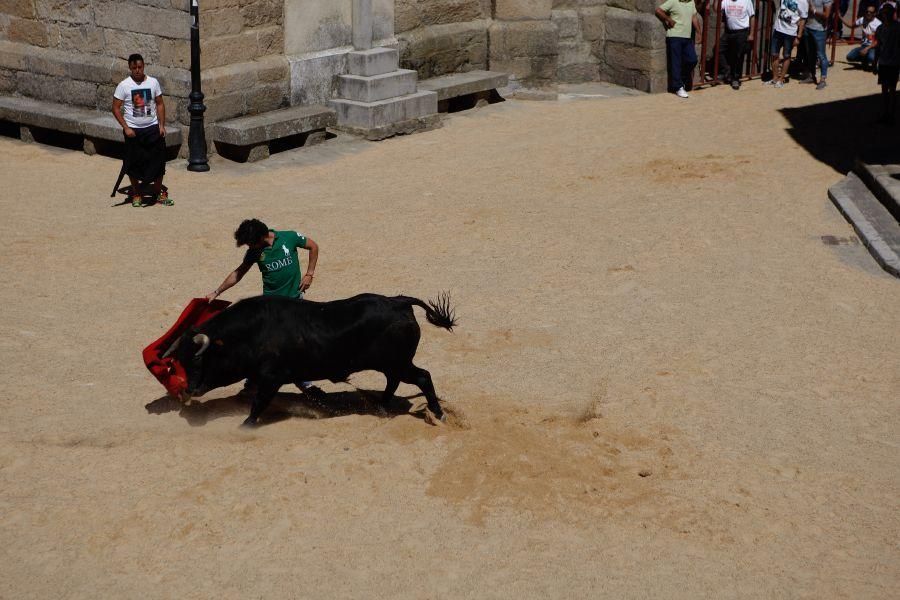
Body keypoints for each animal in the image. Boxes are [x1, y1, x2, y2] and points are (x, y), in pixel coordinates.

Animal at [163, 292, 458, 424]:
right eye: (181, 361)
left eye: (198, 360)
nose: (190, 389)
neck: (251, 334)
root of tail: (399, 301)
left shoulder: (272, 377)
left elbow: (259, 403)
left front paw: (245, 425)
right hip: (392, 365)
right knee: (394, 382)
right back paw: (381, 408)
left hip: (399, 363)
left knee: (422, 377)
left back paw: (438, 415)